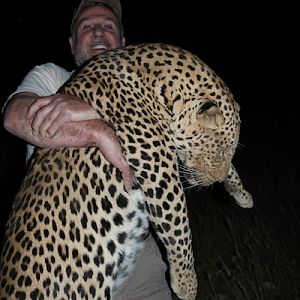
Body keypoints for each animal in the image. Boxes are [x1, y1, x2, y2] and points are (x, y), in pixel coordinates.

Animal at [0, 42, 252, 300]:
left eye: (230, 151)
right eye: (219, 151)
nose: (215, 181)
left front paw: (243, 195)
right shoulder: (160, 173)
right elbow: (178, 227)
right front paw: (186, 285)